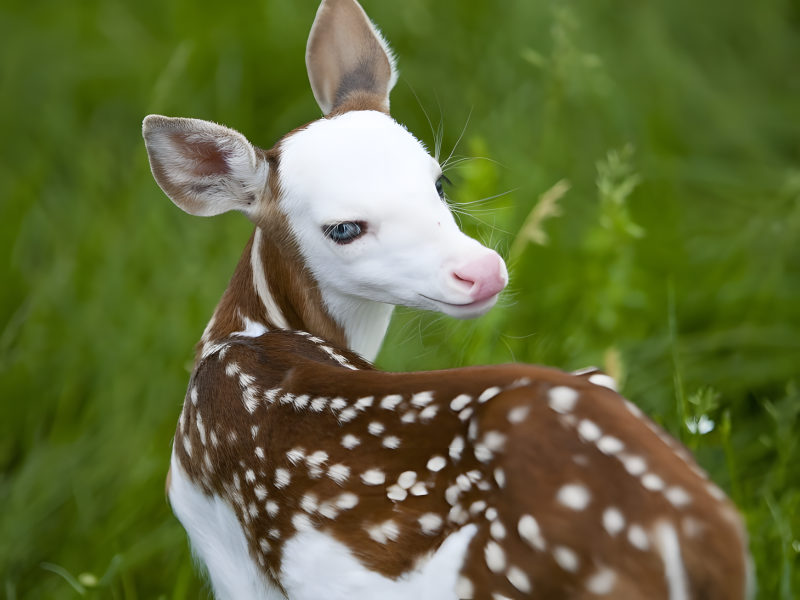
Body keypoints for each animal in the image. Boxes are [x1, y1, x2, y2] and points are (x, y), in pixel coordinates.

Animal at [142, 0, 753, 598]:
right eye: (343, 228)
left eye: (440, 183)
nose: (482, 271)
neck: (242, 336)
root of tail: (687, 540)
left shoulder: (226, 552)